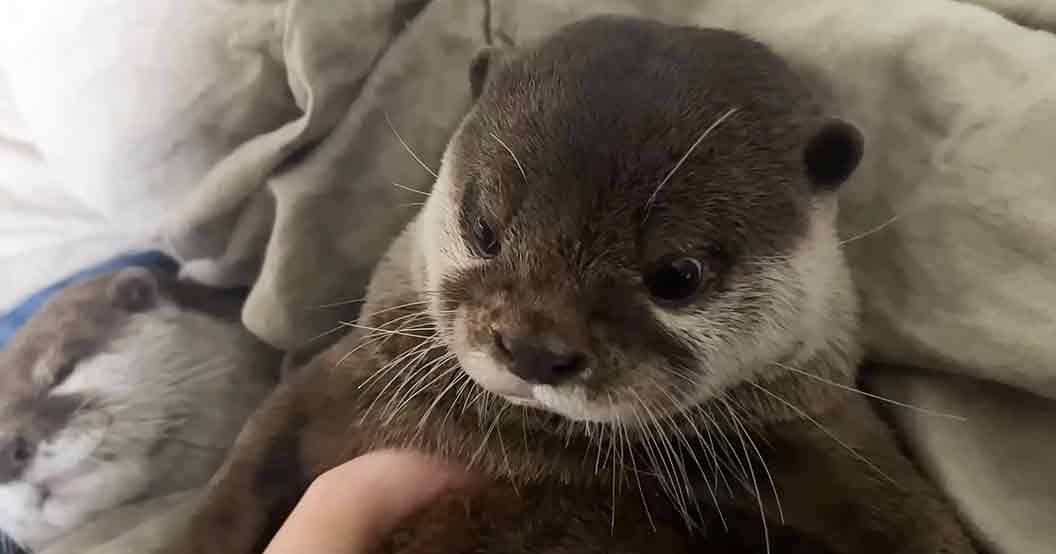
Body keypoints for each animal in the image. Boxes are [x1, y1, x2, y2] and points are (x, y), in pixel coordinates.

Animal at [158, 16, 977, 554]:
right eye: (484, 227)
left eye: (676, 276)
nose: (534, 348)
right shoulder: (337, 382)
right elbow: (247, 464)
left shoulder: (857, 468)